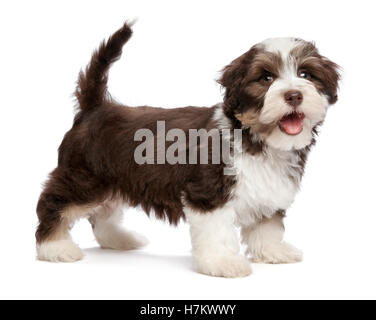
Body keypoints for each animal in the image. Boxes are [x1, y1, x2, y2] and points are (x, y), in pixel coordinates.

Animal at [36, 22, 340, 278]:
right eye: (265, 78)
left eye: (306, 74)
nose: (293, 95)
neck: (254, 136)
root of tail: (94, 108)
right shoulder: (208, 192)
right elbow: (218, 230)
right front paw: (223, 262)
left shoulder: (269, 188)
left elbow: (268, 224)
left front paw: (272, 250)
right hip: (84, 178)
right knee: (55, 203)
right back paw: (54, 247)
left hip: (114, 177)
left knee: (105, 212)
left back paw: (119, 239)